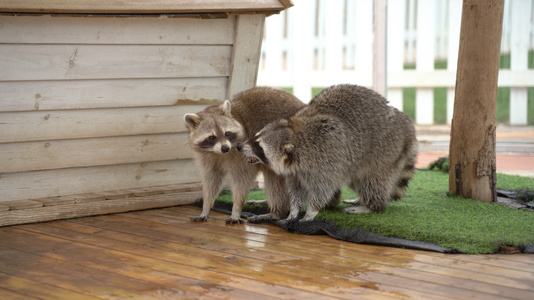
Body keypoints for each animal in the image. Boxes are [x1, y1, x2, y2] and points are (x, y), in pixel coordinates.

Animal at [184, 86, 306, 223]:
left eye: (227, 133)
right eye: (211, 137)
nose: (225, 148)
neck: (218, 153)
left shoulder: (242, 153)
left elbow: (242, 180)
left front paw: (236, 209)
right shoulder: (208, 157)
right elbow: (211, 179)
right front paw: (206, 206)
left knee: (275, 180)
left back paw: (277, 212)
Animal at [241, 83, 420, 221]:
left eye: (259, 146)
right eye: (255, 136)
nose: (240, 147)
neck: (296, 135)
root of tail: (405, 124)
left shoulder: (327, 157)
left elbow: (323, 188)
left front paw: (312, 210)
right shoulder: (296, 170)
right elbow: (297, 188)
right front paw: (294, 209)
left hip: (385, 150)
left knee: (371, 181)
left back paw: (373, 206)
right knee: (357, 179)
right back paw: (363, 201)